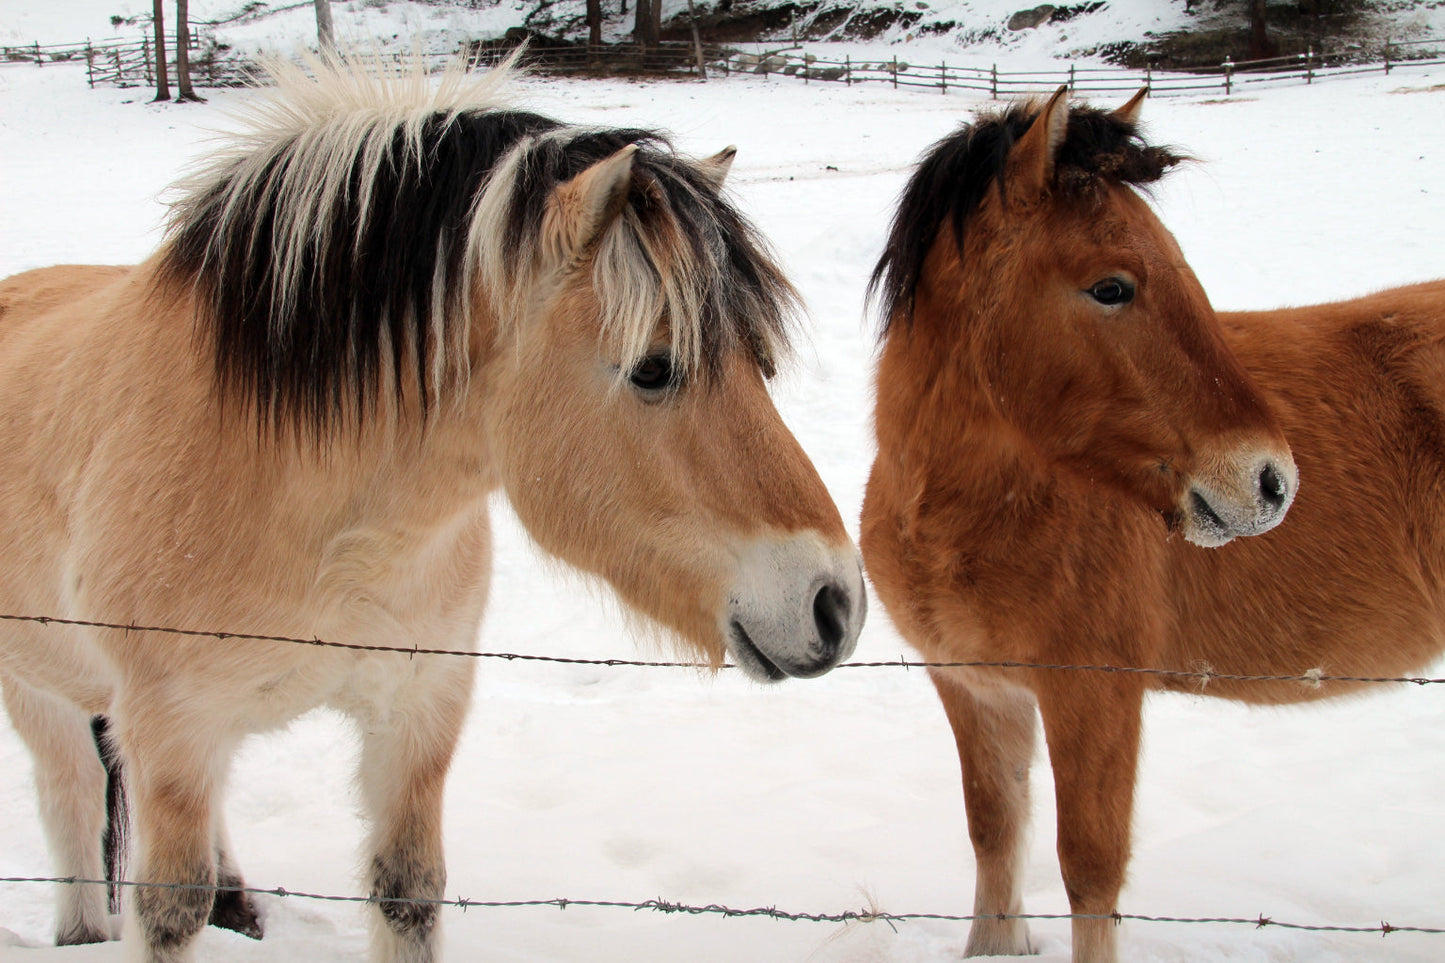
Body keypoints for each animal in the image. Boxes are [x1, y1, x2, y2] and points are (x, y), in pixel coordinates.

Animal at [0, 54, 861, 960]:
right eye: (654, 367)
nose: (835, 601)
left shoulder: (417, 713)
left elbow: (406, 891)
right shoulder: (172, 726)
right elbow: (166, 906)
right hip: (41, 691)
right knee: (68, 792)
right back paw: (81, 930)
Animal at [855, 84, 1445, 960]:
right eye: (1111, 287)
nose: (1271, 481)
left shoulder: (1095, 694)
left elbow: (1089, 871)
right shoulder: (975, 687)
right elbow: (995, 833)